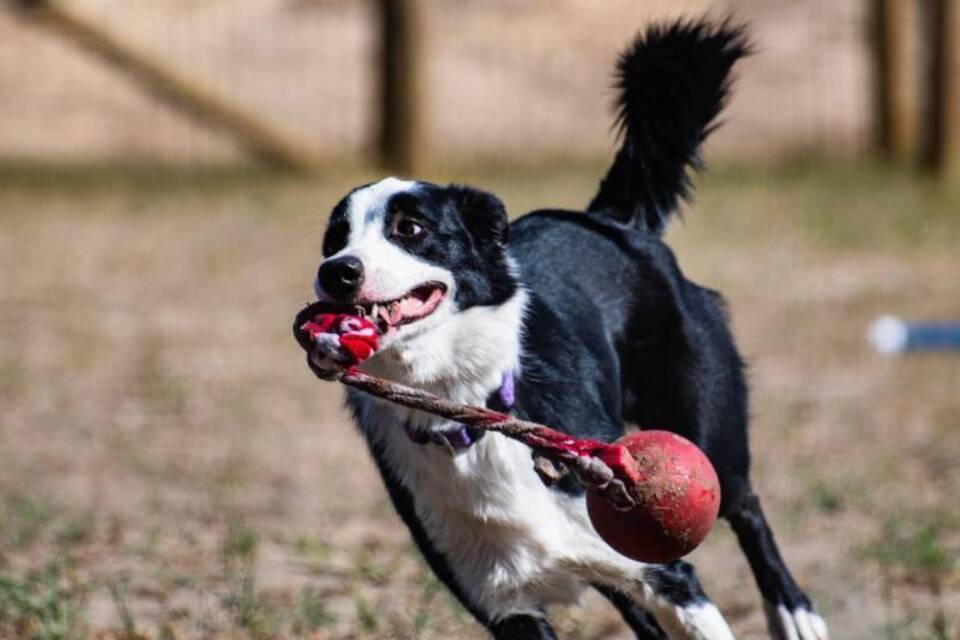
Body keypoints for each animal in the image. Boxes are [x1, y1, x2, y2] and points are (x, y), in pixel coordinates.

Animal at [296, 18, 828, 640]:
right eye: (334, 240)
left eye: (410, 227)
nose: (337, 271)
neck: (466, 413)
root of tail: (607, 220)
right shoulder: (505, 604)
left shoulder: (666, 571)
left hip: (704, 426)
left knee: (747, 506)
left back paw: (795, 613)